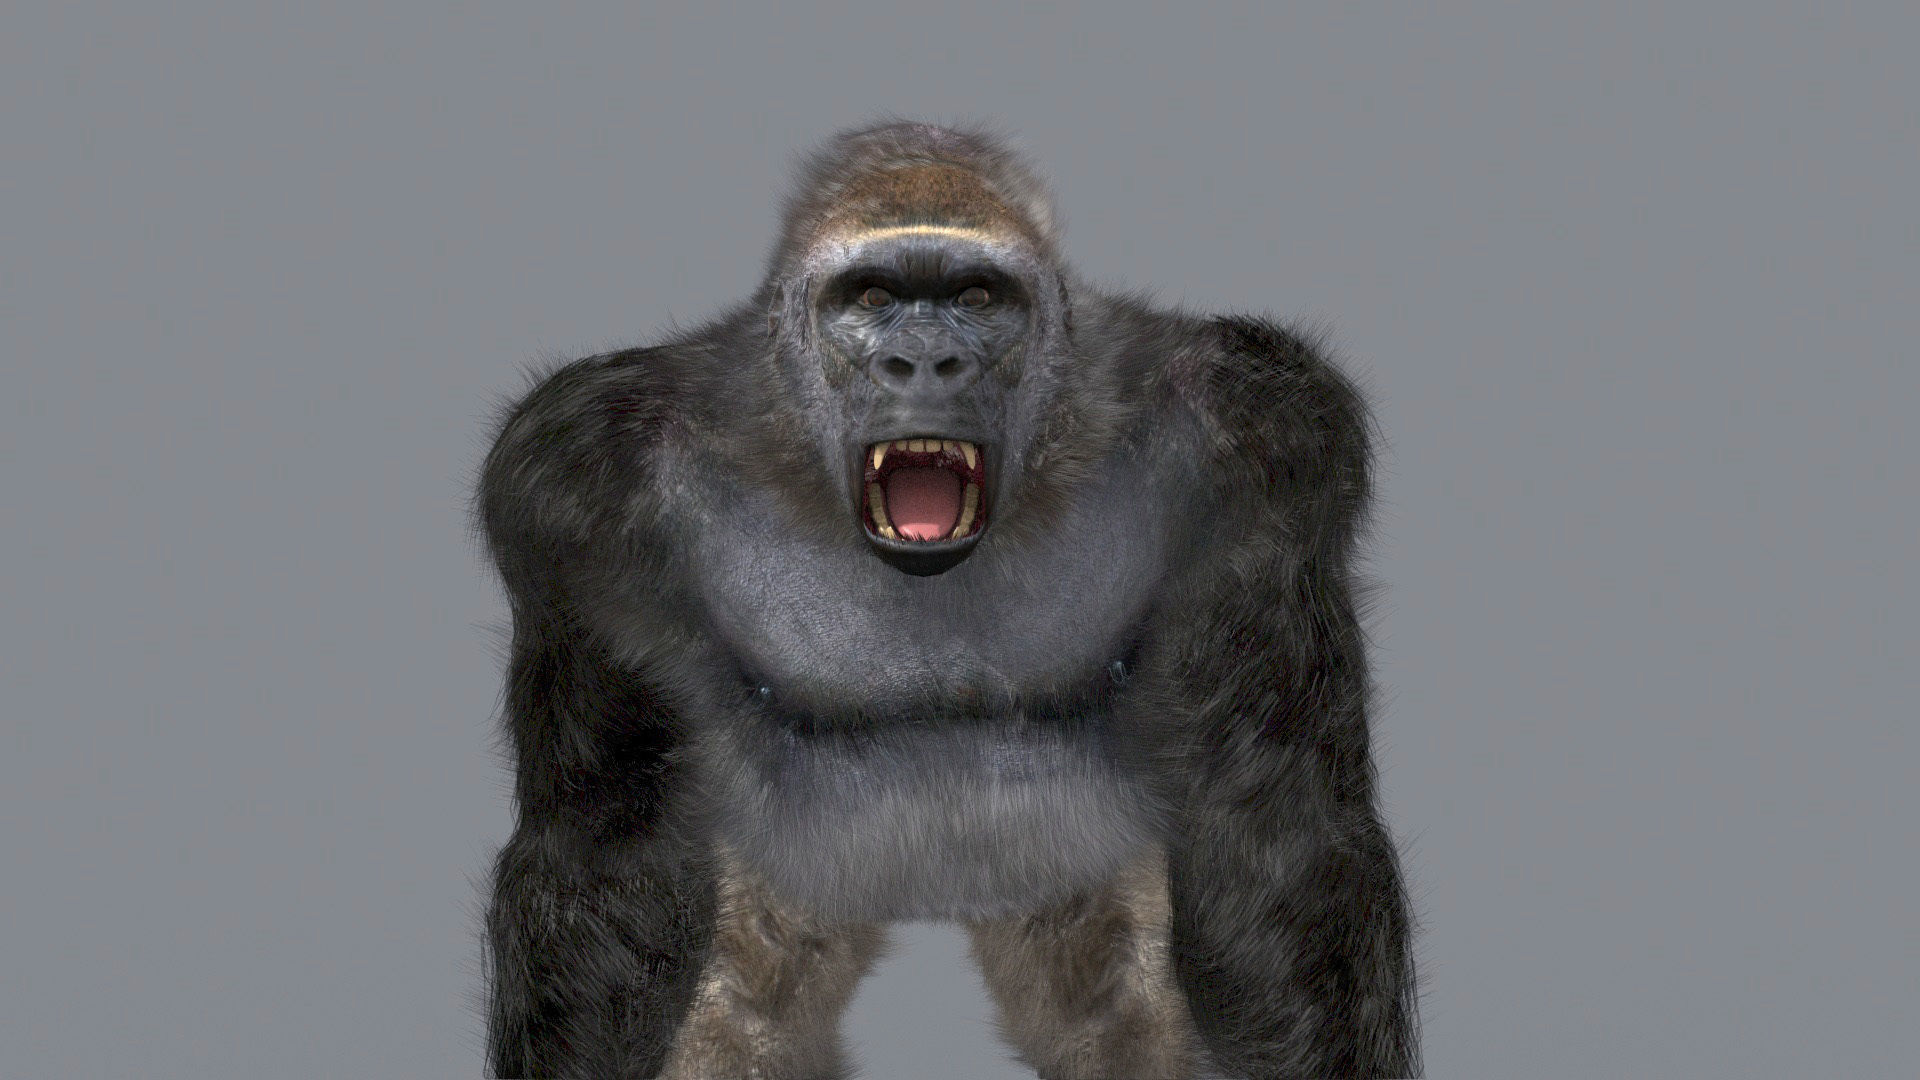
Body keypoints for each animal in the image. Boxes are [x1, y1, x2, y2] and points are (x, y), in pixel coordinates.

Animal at [478, 121, 1419, 1079]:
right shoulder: (581, 475)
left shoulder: (1260, 432)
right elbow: (607, 853)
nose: (926, 360)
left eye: (976, 296)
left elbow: (1278, 840)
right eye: (871, 297)